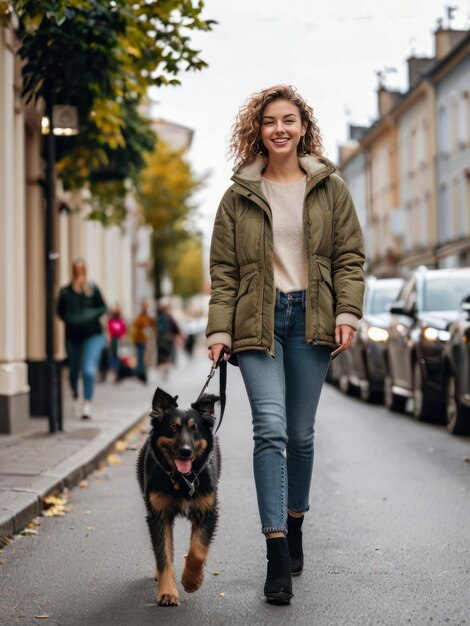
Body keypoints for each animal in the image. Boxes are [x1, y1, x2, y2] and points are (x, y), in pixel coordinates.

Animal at [136, 386, 220, 604]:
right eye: (173, 428)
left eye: (195, 428)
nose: (185, 451)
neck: (183, 480)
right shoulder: (158, 516)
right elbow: (164, 556)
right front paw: (167, 592)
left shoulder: (208, 513)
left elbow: (197, 551)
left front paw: (192, 580)